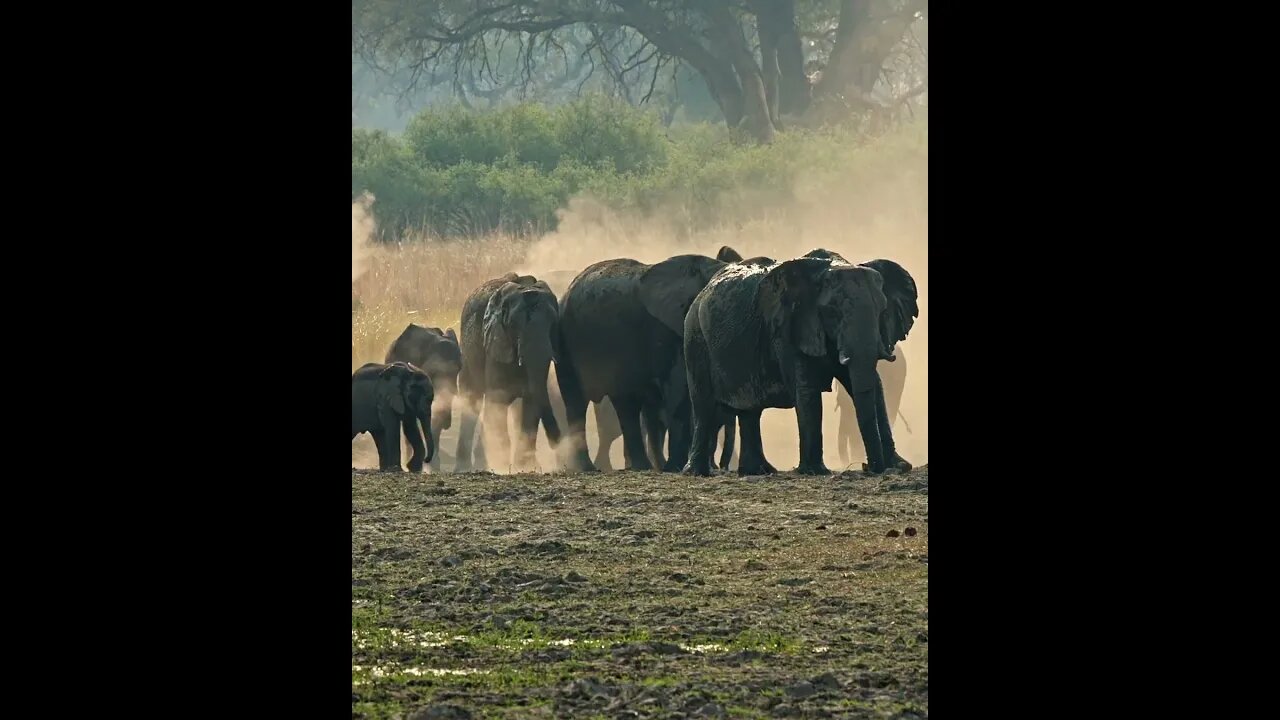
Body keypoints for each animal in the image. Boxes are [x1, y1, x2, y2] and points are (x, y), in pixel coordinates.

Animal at [458, 270, 563, 471]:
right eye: (514, 324)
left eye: (553, 322)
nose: (559, 442)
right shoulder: (496, 342)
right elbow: (498, 400)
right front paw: (503, 466)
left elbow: (531, 403)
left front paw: (526, 468)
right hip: (468, 354)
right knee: (472, 399)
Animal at [555, 245, 747, 471]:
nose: (721, 467)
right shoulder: (666, 330)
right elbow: (679, 392)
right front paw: (675, 467)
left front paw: (671, 466)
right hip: (565, 339)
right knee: (576, 401)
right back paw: (588, 468)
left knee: (625, 405)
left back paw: (642, 466)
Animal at [686, 248, 916, 476]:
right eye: (832, 312)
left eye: (882, 310)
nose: (868, 467)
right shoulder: (790, 326)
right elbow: (807, 389)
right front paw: (816, 471)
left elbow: (872, 385)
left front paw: (900, 466)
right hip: (695, 336)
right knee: (704, 405)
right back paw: (698, 472)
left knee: (750, 408)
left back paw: (758, 471)